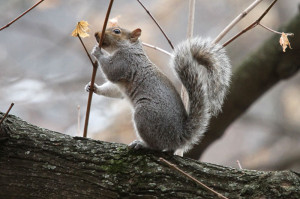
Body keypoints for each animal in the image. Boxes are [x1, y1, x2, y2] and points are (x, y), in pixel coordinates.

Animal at [85, 26, 232, 154]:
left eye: (117, 31)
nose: (96, 34)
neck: (129, 48)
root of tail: (177, 137)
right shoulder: (120, 84)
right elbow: (114, 90)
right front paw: (93, 87)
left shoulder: (125, 62)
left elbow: (111, 70)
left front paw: (98, 52)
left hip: (145, 114)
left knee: (157, 146)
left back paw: (142, 144)